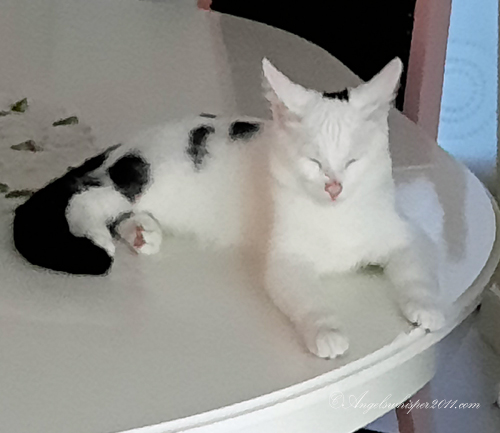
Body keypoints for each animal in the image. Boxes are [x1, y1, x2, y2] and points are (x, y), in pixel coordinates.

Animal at [13, 58, 446, 358]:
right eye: (313, 162)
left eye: (353, 162)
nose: (334, 187)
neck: (335, 219)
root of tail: (128, 144)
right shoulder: (285, 260)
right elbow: (307, 297)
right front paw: (326, 332)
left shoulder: (403, 234)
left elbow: (415, 270)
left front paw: (426, 307)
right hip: (142, 177)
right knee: (86, 194)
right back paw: (99, 238)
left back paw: (140, 232)